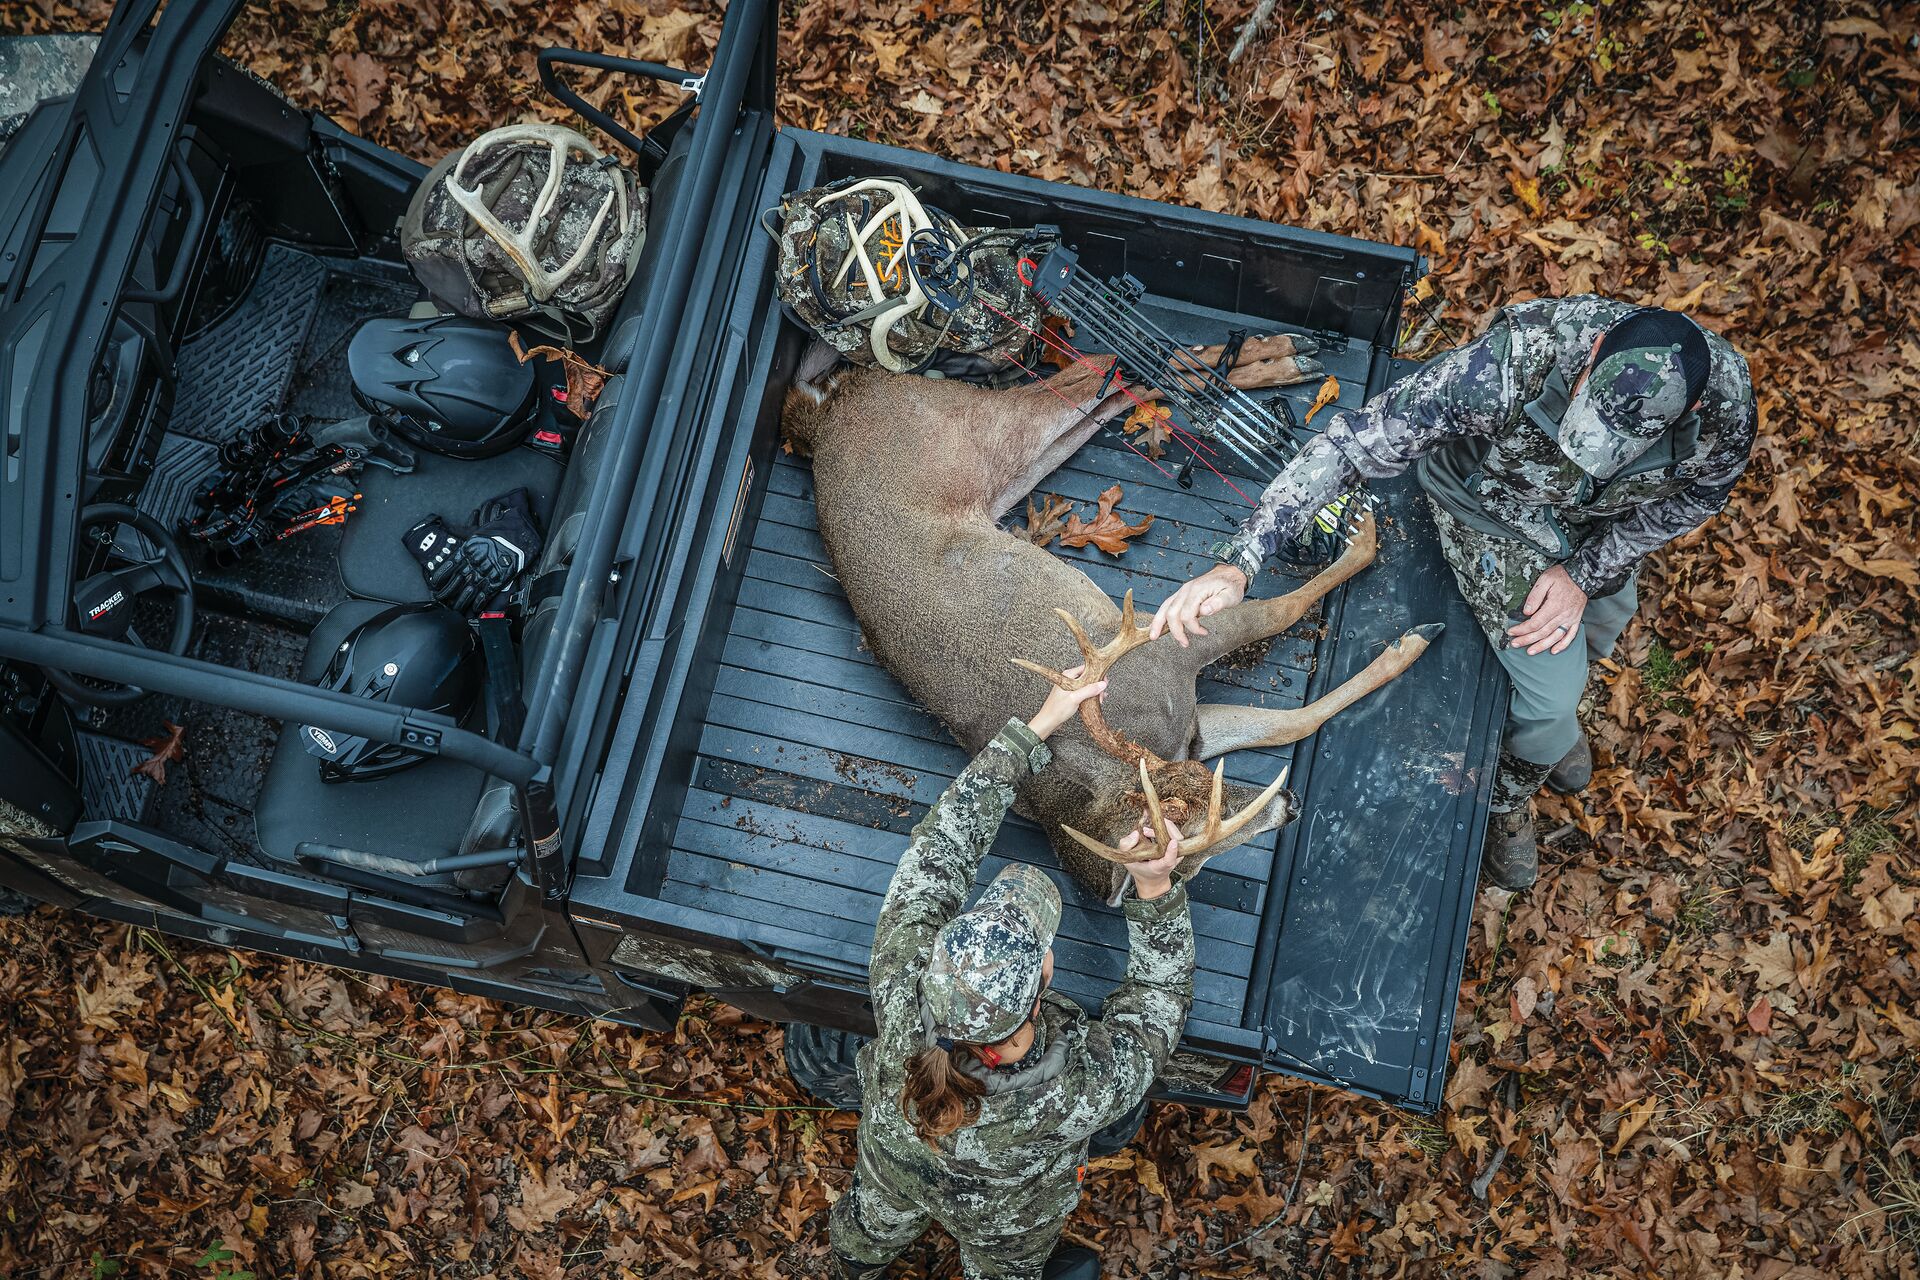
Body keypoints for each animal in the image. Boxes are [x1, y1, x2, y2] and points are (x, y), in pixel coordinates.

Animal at [781, 336, 1443, 904]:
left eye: (1199, 798)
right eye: (1191, 850)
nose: (1292, 806)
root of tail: (821, 415)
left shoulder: (1168, 654)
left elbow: (1282, 617)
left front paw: (1369, 542)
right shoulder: (1182, 706)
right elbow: (1290, 714)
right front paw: (1409, 632)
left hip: (978, 432)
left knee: (1103, 366)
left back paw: (1263, 361)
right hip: (992, 456)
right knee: (1113, 382)